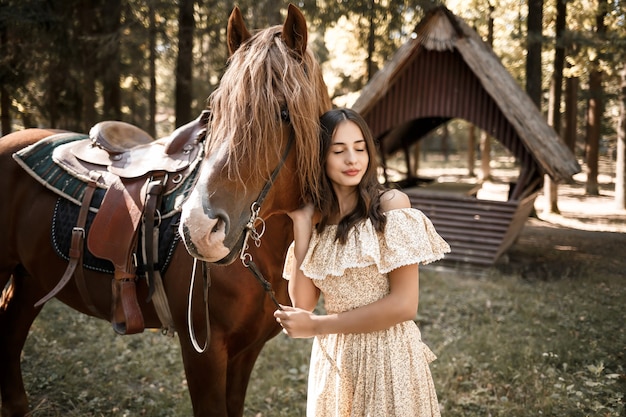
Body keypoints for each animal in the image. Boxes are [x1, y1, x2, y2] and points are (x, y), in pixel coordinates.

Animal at [0, 4, 330, 416]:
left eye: (285, 113)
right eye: (214, 111)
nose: (199, 229)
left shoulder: (246, 353)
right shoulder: (203, 352)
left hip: (31, 278)